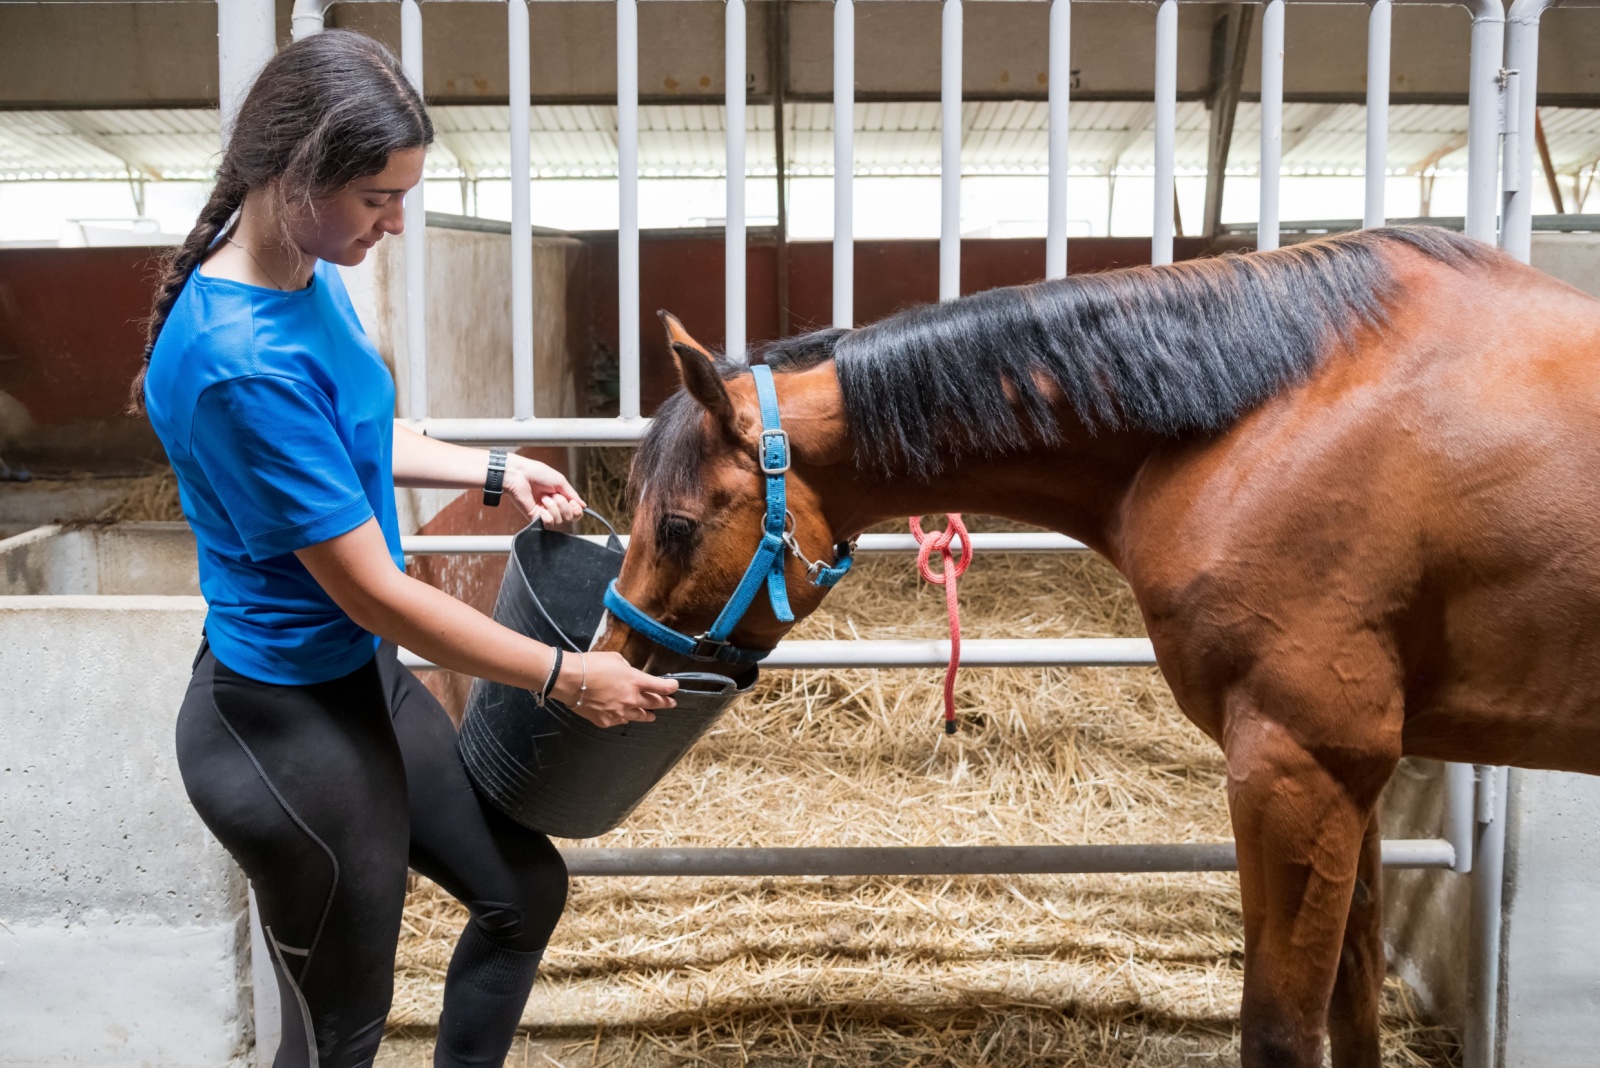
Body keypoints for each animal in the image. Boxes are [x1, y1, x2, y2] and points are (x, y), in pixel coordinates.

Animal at [595, 227, 1600, 1068]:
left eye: (677, 528)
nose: (615, 661)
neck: (1262, 418)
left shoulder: (1298, 761)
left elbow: (1280, 1031)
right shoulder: (1354, 776)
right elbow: (1352, 1007)